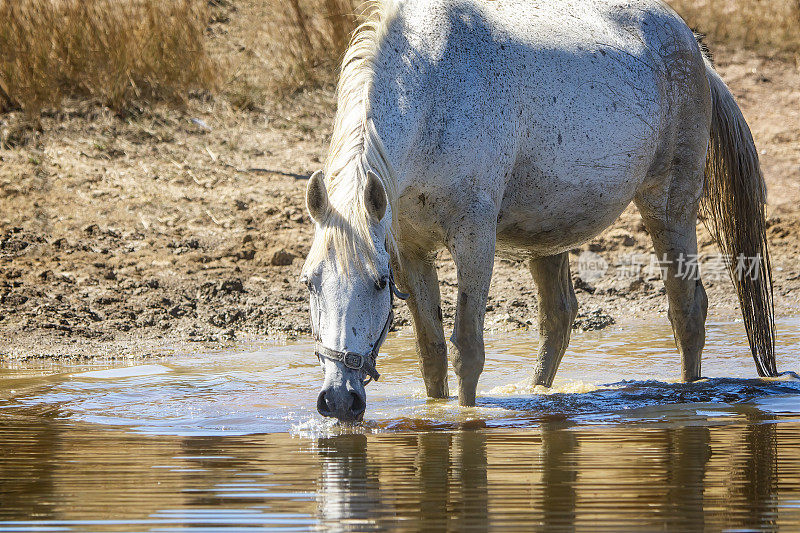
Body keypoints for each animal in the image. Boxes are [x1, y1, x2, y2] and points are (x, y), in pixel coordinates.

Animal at [300, 0, 776, 420]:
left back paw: (689, 396)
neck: (434, 92)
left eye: (379, 283)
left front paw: (465, 418)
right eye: (309, 283)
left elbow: (467, 348)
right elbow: (431, 352)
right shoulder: (411, 251)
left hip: (669, 209)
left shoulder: (474, 240)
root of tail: (692, 46)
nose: (339, 400)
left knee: (687, 311)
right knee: (558, 320)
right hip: (551, 235)